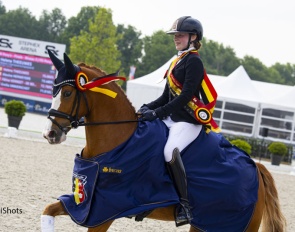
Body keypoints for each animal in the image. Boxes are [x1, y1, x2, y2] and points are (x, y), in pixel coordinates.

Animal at [42, 51, 286, 232]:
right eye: (52, 89)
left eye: (67, 93)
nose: (50, 134)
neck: (119, 139)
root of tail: (256, 167)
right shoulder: (82, 203)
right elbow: (48, 209)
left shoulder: (104, 209)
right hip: (205, 226)